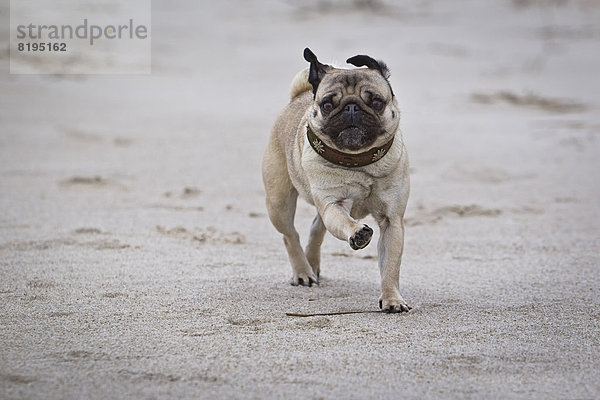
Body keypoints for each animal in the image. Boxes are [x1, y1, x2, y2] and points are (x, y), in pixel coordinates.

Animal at [264, 47, 412, 312]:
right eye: (327, 104)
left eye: (376, 102)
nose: (351, 107)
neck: (359, 160)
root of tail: (297, 98)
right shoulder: (333, 204)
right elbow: (343, 223)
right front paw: (357, 233)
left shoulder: (391, 221)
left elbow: (390, 266)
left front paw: (392, 299)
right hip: (278, 203)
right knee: (290, 235)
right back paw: (303, 272)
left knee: (316, 227)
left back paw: (312, 263)